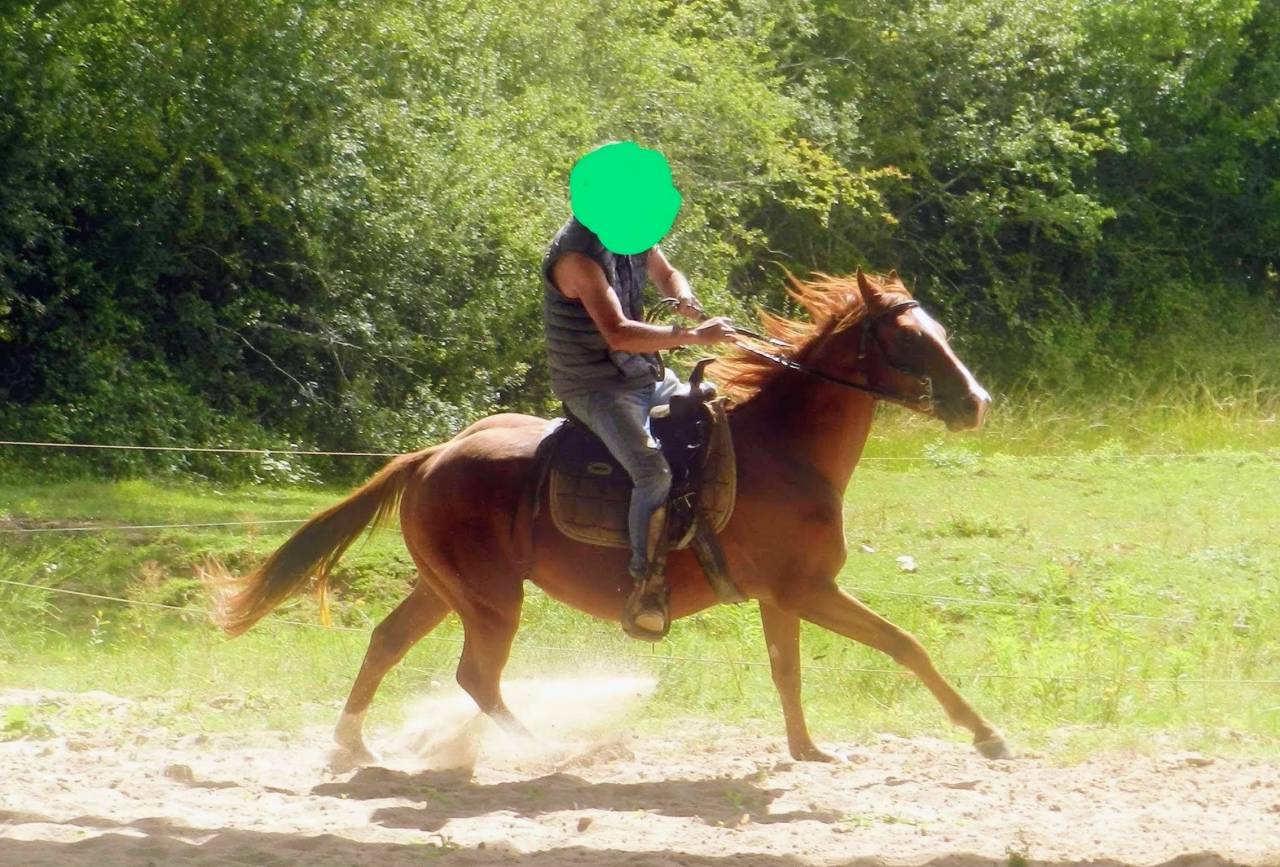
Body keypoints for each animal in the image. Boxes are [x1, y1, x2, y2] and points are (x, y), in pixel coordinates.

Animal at [216, 268, 1009, 765]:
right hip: (491, 600)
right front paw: (986, 734)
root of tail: (436, 452)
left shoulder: (782, 597)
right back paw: (545, 748)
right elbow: (905, 645)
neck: (783, 451)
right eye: (910, 340)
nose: (976, 403)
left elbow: (788, 670)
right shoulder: (809, 590)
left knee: (385, 642)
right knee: (477, 676)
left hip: (444, 590)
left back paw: (352, 744)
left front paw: (807, 748)